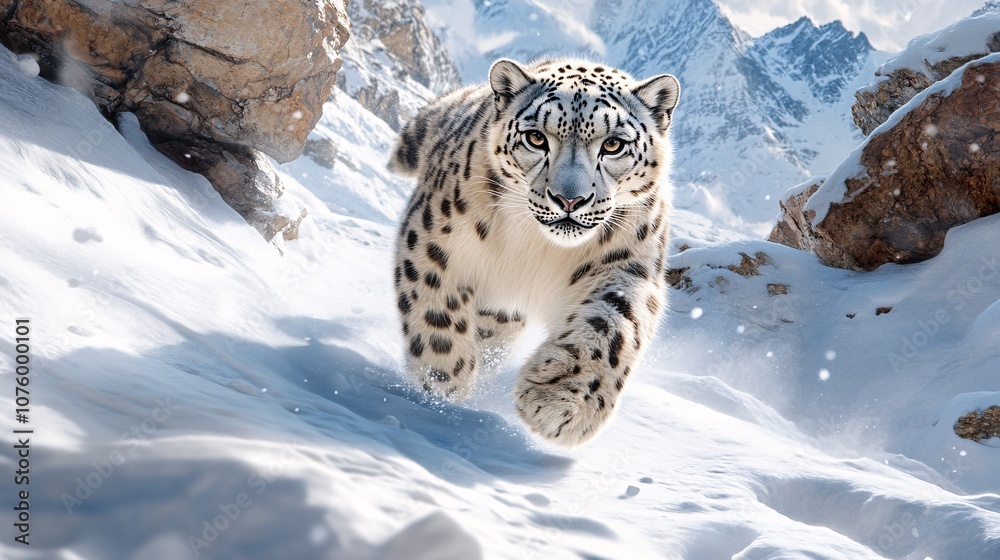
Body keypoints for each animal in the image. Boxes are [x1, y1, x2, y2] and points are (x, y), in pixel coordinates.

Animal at [388, 57, 680, 447]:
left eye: (614, 144)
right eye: (536, 138)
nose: (569, 199)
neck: (540, 247)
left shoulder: (628, 266)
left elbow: (614, 327)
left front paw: (562, 403)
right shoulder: (434, 238)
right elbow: (437, 309)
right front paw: (442, 382)